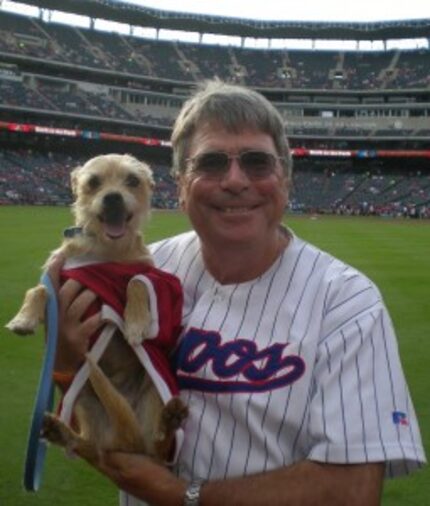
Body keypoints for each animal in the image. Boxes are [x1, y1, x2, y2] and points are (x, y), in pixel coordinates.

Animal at [5, 153, 186, 466]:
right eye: (93, 182)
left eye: (132, 181)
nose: (113, 197)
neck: (106, 251)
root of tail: (127, 442)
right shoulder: (57, 277)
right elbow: (39, 290)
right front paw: (24, 318)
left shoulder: (160, 280)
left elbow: (137, 283)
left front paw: (136, 322)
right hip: (84, 399)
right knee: (89, 447)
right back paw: (61, 433)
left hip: (153, 392)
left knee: (159, 447)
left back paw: (169, 420)